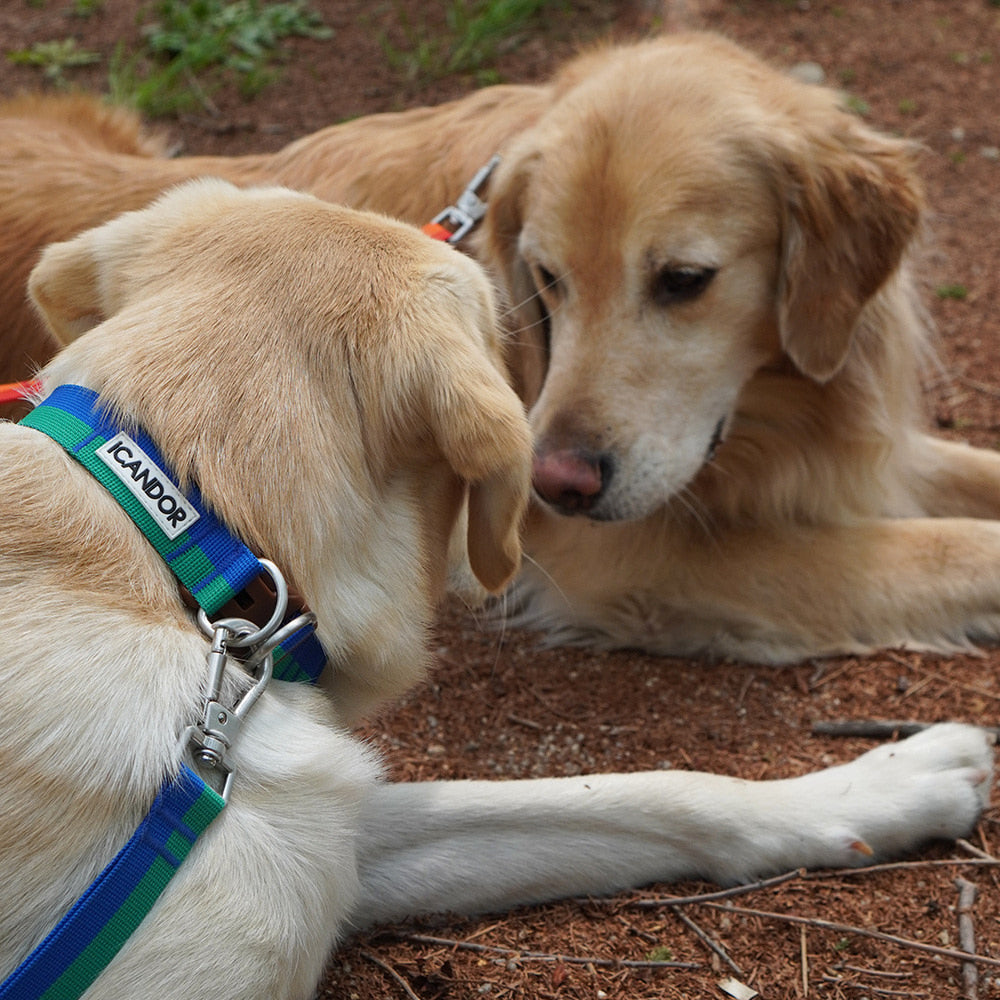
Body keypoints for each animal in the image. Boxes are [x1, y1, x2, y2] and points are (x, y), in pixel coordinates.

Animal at [1, 31, 1000, 660]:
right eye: (547, 278)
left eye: (684, 279)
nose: (557, 484)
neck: (775, 403)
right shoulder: (639, 555)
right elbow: (960, 549)